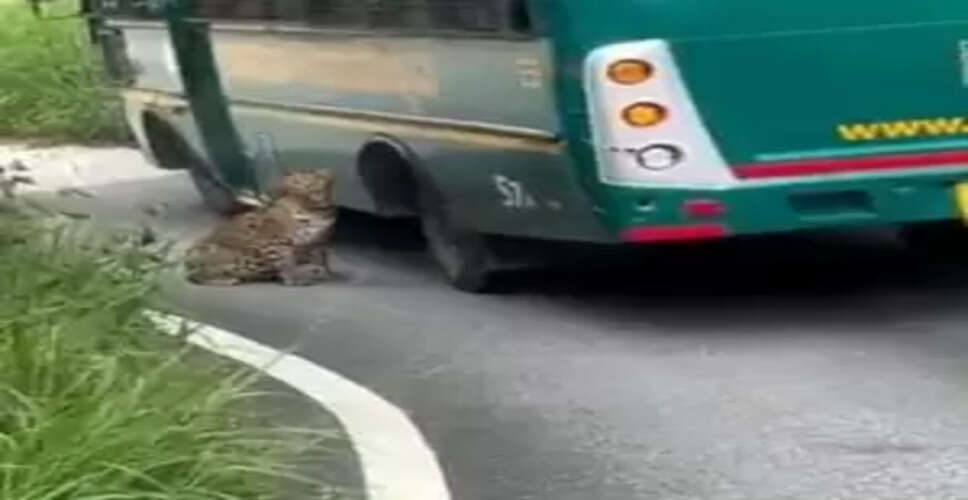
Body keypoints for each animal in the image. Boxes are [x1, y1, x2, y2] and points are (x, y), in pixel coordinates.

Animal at [184, 169, 338, 287]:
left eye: (315, 177)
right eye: (300, 178)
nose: (326, 173)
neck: (315, 209)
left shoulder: (318, 241)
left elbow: (319, 257)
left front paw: (322, 271)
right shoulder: (274, 241)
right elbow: (285, 260)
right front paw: (295, 276)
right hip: (223, 255)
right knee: (197, 274)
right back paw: (226, 279)